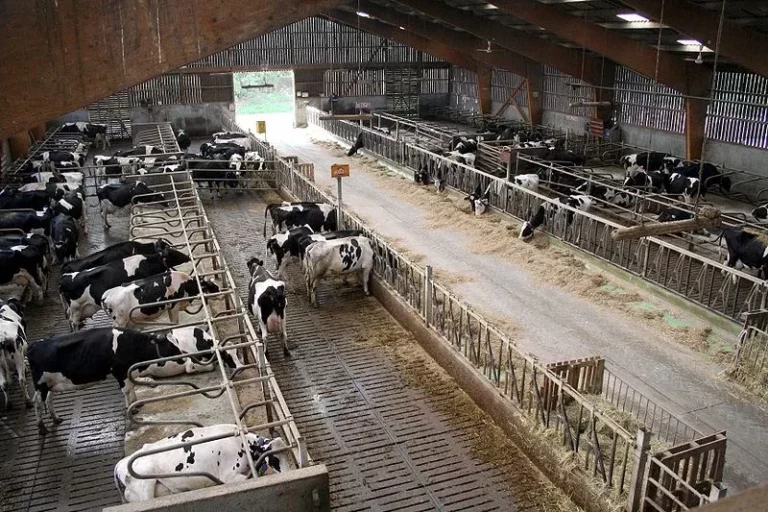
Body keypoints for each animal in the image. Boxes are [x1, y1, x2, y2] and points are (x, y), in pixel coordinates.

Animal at [57, 249, 188, 330]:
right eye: (174, 253)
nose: (187, 256)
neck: (147, 263)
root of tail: (64, 278)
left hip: (73, 308)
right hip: (76, 307)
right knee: (73, 322)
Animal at [115, 424, 292, 504]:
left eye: (288, 453)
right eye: (274, 459)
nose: (287, 473)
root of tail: (120, 463)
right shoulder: (229, 476)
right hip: (145, 485)